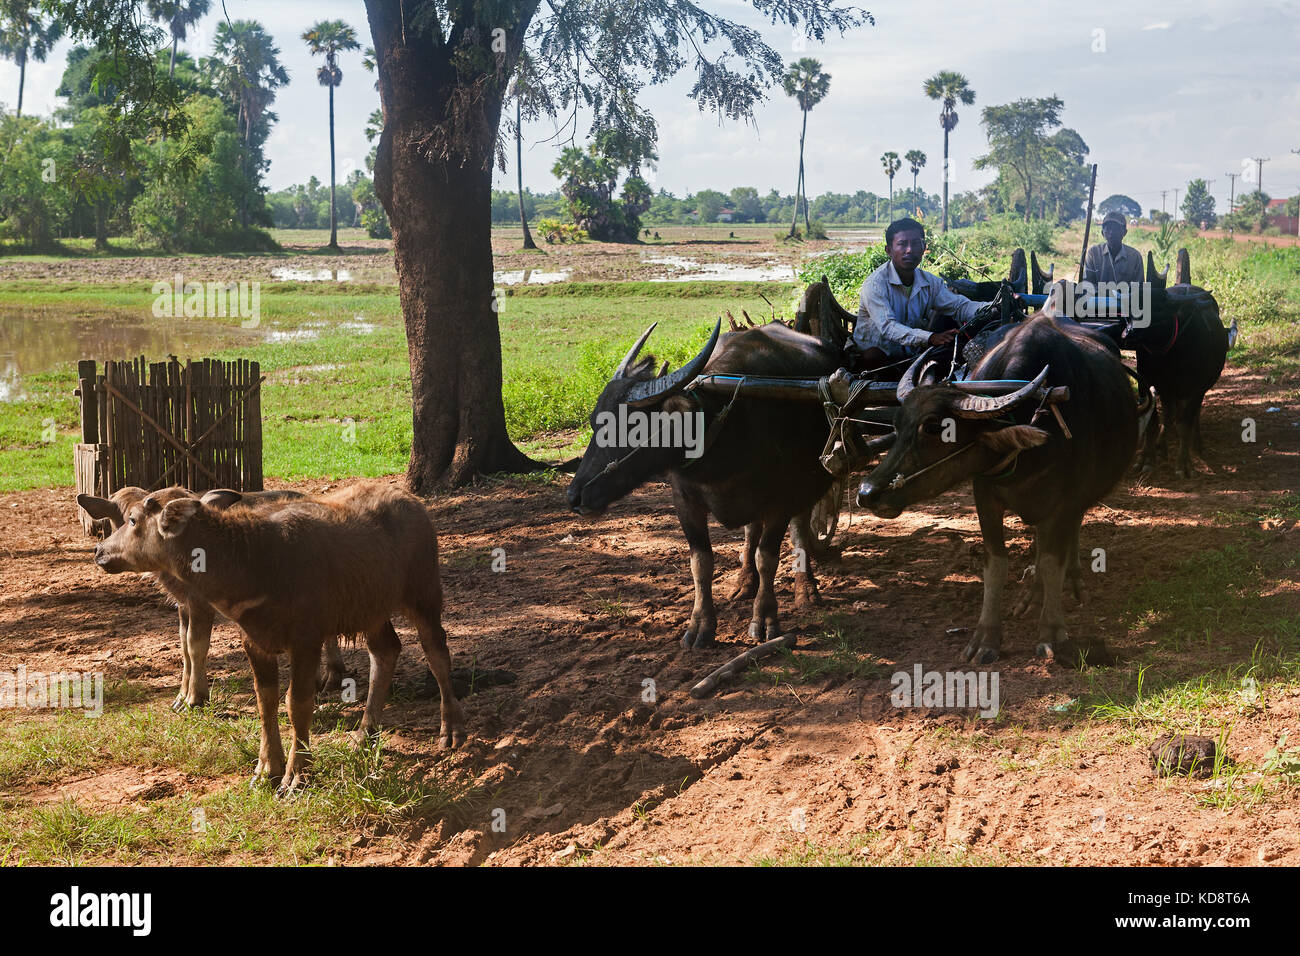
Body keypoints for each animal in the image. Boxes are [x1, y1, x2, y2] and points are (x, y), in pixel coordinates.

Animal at [78, 489, 348, 707]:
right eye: (121, 519)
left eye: (132, 520)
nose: (98, 550)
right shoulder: (184, 605)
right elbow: (183, 645)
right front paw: (180, 696)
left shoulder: (201, 604)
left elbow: (196, 645)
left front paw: (195, 698)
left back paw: (330, 676)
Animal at [569, 323, 842, 650]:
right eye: (594, 421)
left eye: (631, 426)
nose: (575, 497)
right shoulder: (684, 501)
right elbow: (701, 563)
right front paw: (700, 626)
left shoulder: (781, 500)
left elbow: (768, 558)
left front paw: (764, 619)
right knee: (751, 530)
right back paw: (744, 583)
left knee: (799, 527)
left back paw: (806, 588)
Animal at [863, 314, 1138, 665]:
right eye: (896, 424)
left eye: (935, 427)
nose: (867, 492)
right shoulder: (985, 496)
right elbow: (996, 562)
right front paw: (986, 637)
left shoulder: (1065, 502)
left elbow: (1053, 561)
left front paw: (1051, 631)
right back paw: (1031, 594)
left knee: (1069, 537)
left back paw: (1071, 579)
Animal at [1128, 248, 1227, 476]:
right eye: (1132, 306)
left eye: (1158, 308)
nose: (1128, 332)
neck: (1168, 355)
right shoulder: (1147, 382)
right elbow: (1153, 421)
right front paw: (1147, 460)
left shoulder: (1195, 388)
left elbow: (1184, 424)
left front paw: (1183, 464)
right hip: (1168, 389)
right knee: (1169, 414)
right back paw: (1160, 446)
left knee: (1191, 416)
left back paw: (1196, 444)